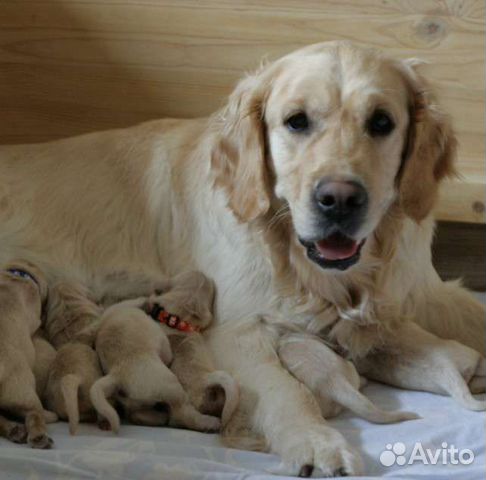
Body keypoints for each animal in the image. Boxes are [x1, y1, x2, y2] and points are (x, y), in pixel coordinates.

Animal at [89, 298, 220, 434]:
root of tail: (116, 375)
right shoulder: (164, 344)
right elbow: (167, 354)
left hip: (136, 402)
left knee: (136, 414)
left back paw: (161, 417)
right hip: (172, 388)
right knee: (181, 414)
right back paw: (210, 422)